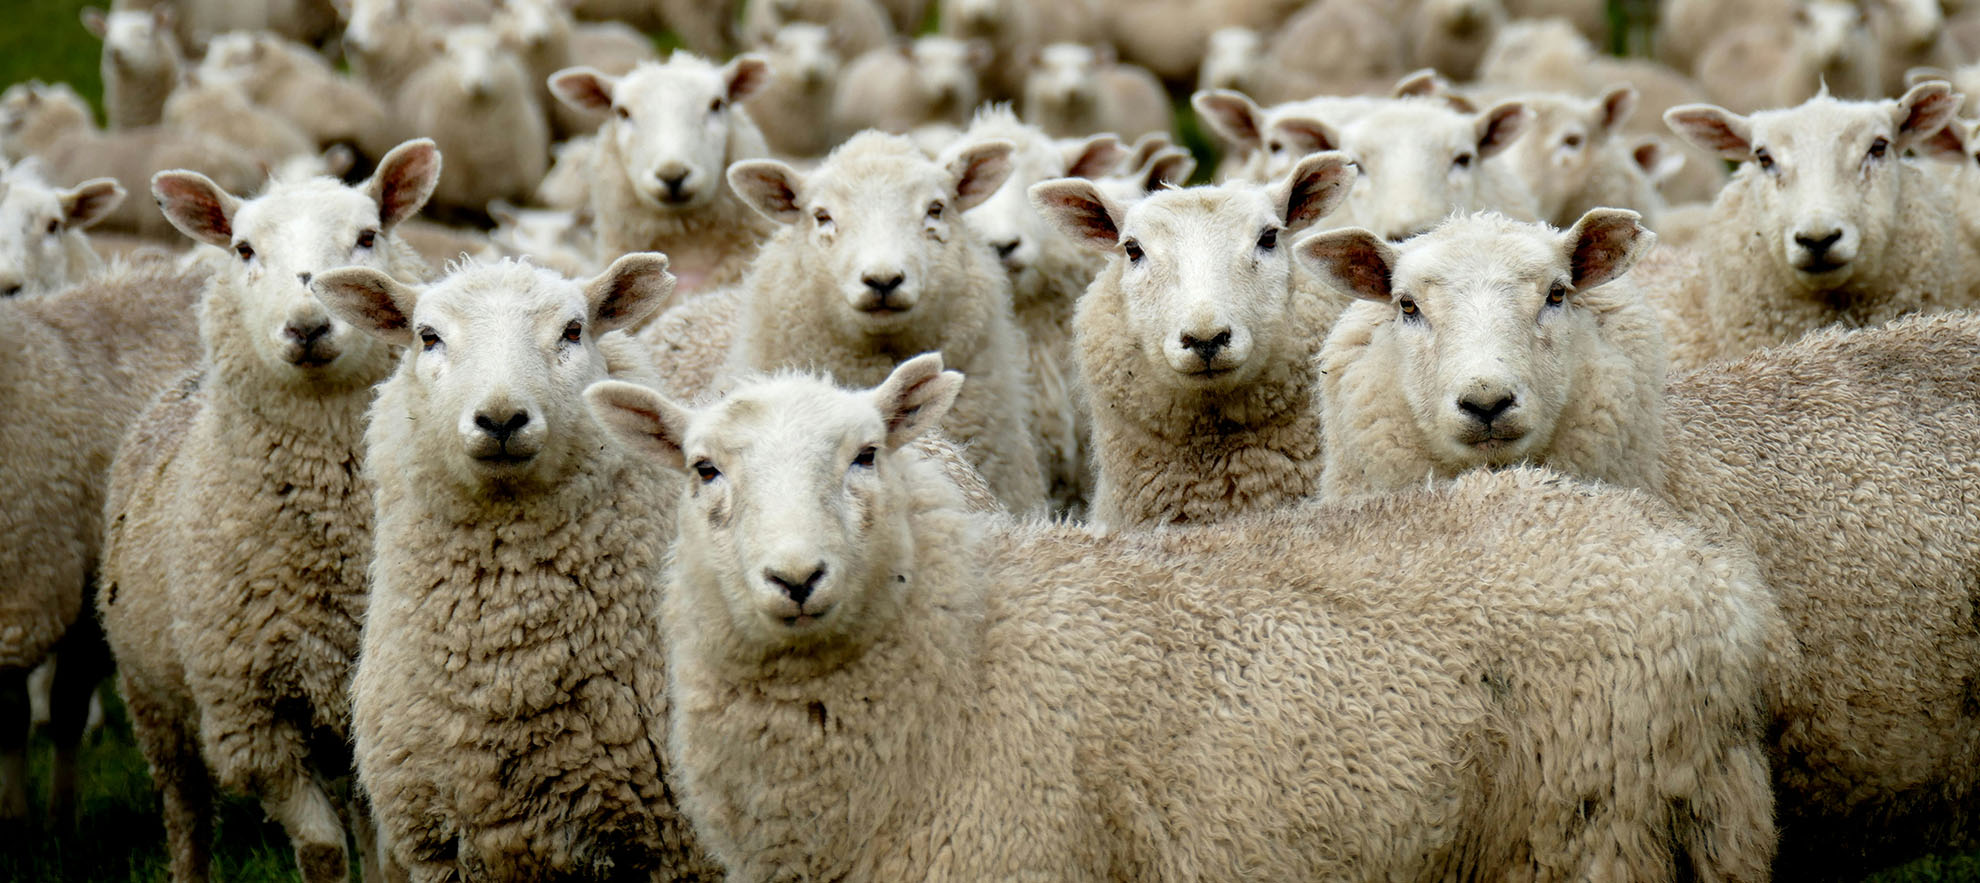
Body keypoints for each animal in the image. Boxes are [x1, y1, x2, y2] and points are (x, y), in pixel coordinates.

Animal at [98, 139, 439, 883]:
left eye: (367, 236)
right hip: (155, 701)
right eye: (245, 249)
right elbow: (320, 850)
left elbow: (384, 856)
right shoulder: (253, 721)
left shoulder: (371, 710)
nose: (308, 325)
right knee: (187, 816)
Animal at [302, 255, 722, 882]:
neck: (508, 664)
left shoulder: (678, 849)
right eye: (428, 336)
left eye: (573, 330)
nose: (501, 418)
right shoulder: (433, 844)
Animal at [583, 353, 1782, 882]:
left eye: (866, 454)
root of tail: (1718, 580)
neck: (964, 655)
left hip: (1595, 824)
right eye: (703, 470)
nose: (795, 577)